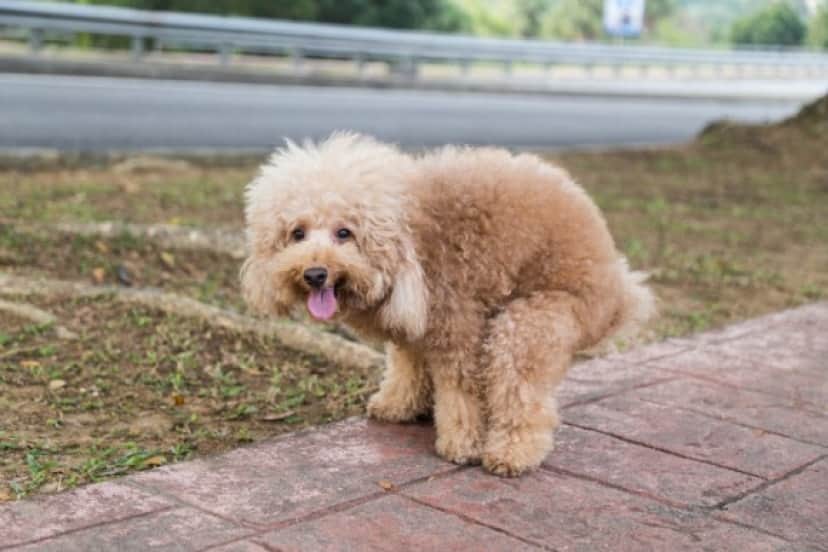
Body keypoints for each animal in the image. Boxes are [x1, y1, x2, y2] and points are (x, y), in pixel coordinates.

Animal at [239, 132, 652, 476]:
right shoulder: (412, 326)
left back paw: (511, 453)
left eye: (345, 233)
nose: (315, 274)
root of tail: (619, 290)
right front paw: (398, 405)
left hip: (534, 319)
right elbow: (407, 366)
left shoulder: (457, 325)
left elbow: (461, 391)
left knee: (520, 389)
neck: (411, 235)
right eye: (297, 233)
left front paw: (463, 444)